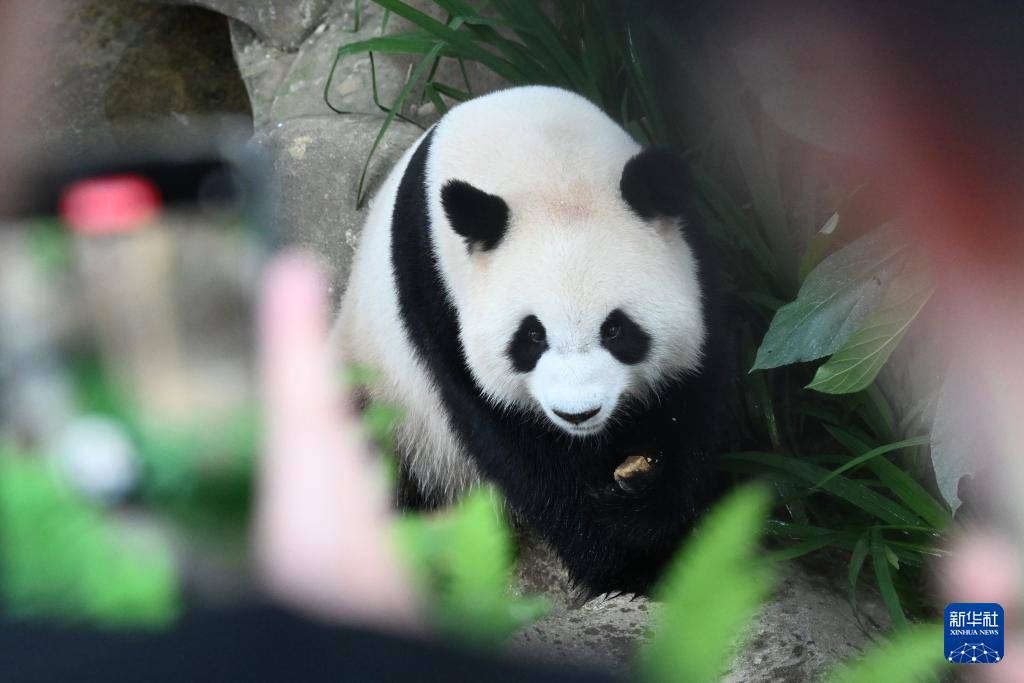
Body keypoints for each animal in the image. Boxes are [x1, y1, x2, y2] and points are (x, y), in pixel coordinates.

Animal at [334, 85, 725, 597]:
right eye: (532, 335)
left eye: (616, 329)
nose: (578, 414)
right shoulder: (436, 297)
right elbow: (518, 447)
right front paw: (627, 563)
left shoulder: (692, 254)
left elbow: (692, 400)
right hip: (382, 393)